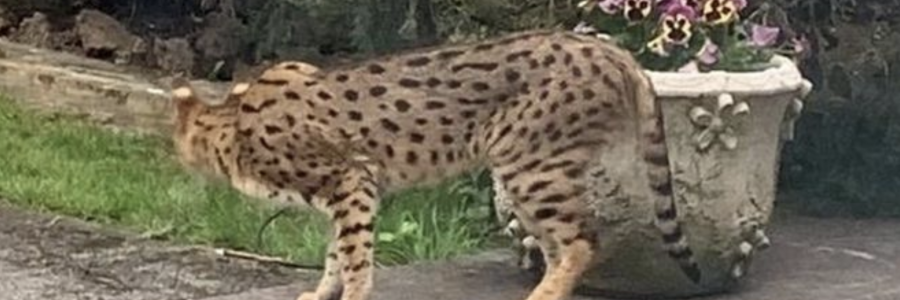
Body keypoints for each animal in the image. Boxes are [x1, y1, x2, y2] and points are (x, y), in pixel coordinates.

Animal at [171, 28, 704, 300]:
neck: (232, 123)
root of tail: (612, 49)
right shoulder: (343, 195)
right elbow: (335, 254)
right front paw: (322, 292)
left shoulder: (352, 182)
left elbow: (354, 255)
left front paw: (350, 294)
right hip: (530, 173)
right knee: (562, 246)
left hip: (528, 167)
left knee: (581, 243)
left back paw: (542, 295)